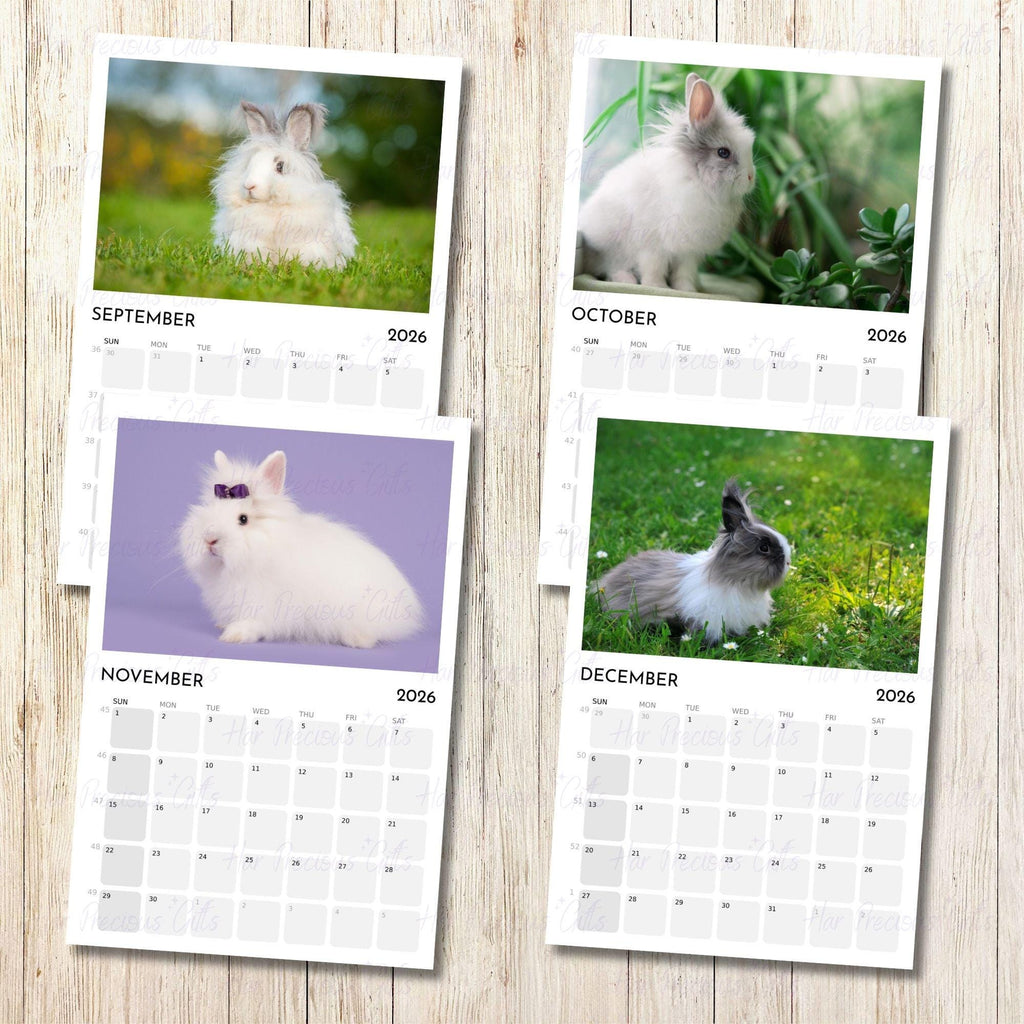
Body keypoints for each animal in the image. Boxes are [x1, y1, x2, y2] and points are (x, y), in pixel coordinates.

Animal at [179, 450, 423, 648]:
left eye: (243, 519)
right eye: (210, 511)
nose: (209, 540)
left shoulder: (263, 602)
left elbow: (254, 622)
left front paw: (234, 635)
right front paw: (224, 626)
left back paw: (357, 640)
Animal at [577, 73, 755, 292]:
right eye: (723, 153)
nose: (751, 178)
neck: (696, 181)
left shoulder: (687, 252)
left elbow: (683, 273)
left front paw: (687, 290)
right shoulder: (652, 246)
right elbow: (653, 268)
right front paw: (657, 286)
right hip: (610, 243)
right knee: (611, 266)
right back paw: (627, 280)